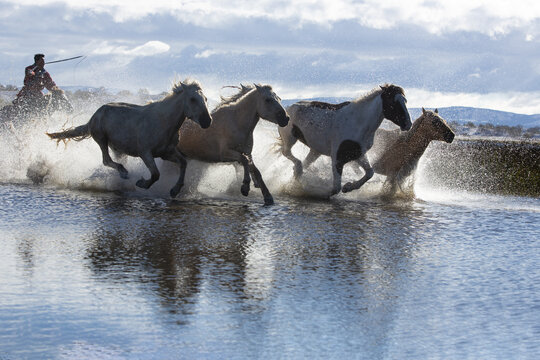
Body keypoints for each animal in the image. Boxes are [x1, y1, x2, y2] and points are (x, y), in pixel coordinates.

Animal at [47, 79, 211, 197]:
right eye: (192, 99)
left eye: (206, 99)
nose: (207, 121)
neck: (163, 122)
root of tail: (93, 117)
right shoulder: (145, 153)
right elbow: (156, 174)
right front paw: (141, 183)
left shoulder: (166, 153)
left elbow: (183, 163)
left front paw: (174, 191)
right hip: (101, 139)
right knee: (106, 160)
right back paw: (124, 173)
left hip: (118, 149)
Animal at [276, 84, 412, 195]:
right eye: (393, 102)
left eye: (405, 101)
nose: (408, 124)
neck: (359, 122)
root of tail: (287, 108)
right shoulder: (338, 158)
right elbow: (335, 188)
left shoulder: (358, 154)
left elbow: (370, 172)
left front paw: (348, 187)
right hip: (290, 138)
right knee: (287, 153)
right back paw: (297, 172)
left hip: (315, 151)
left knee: (303, 164)